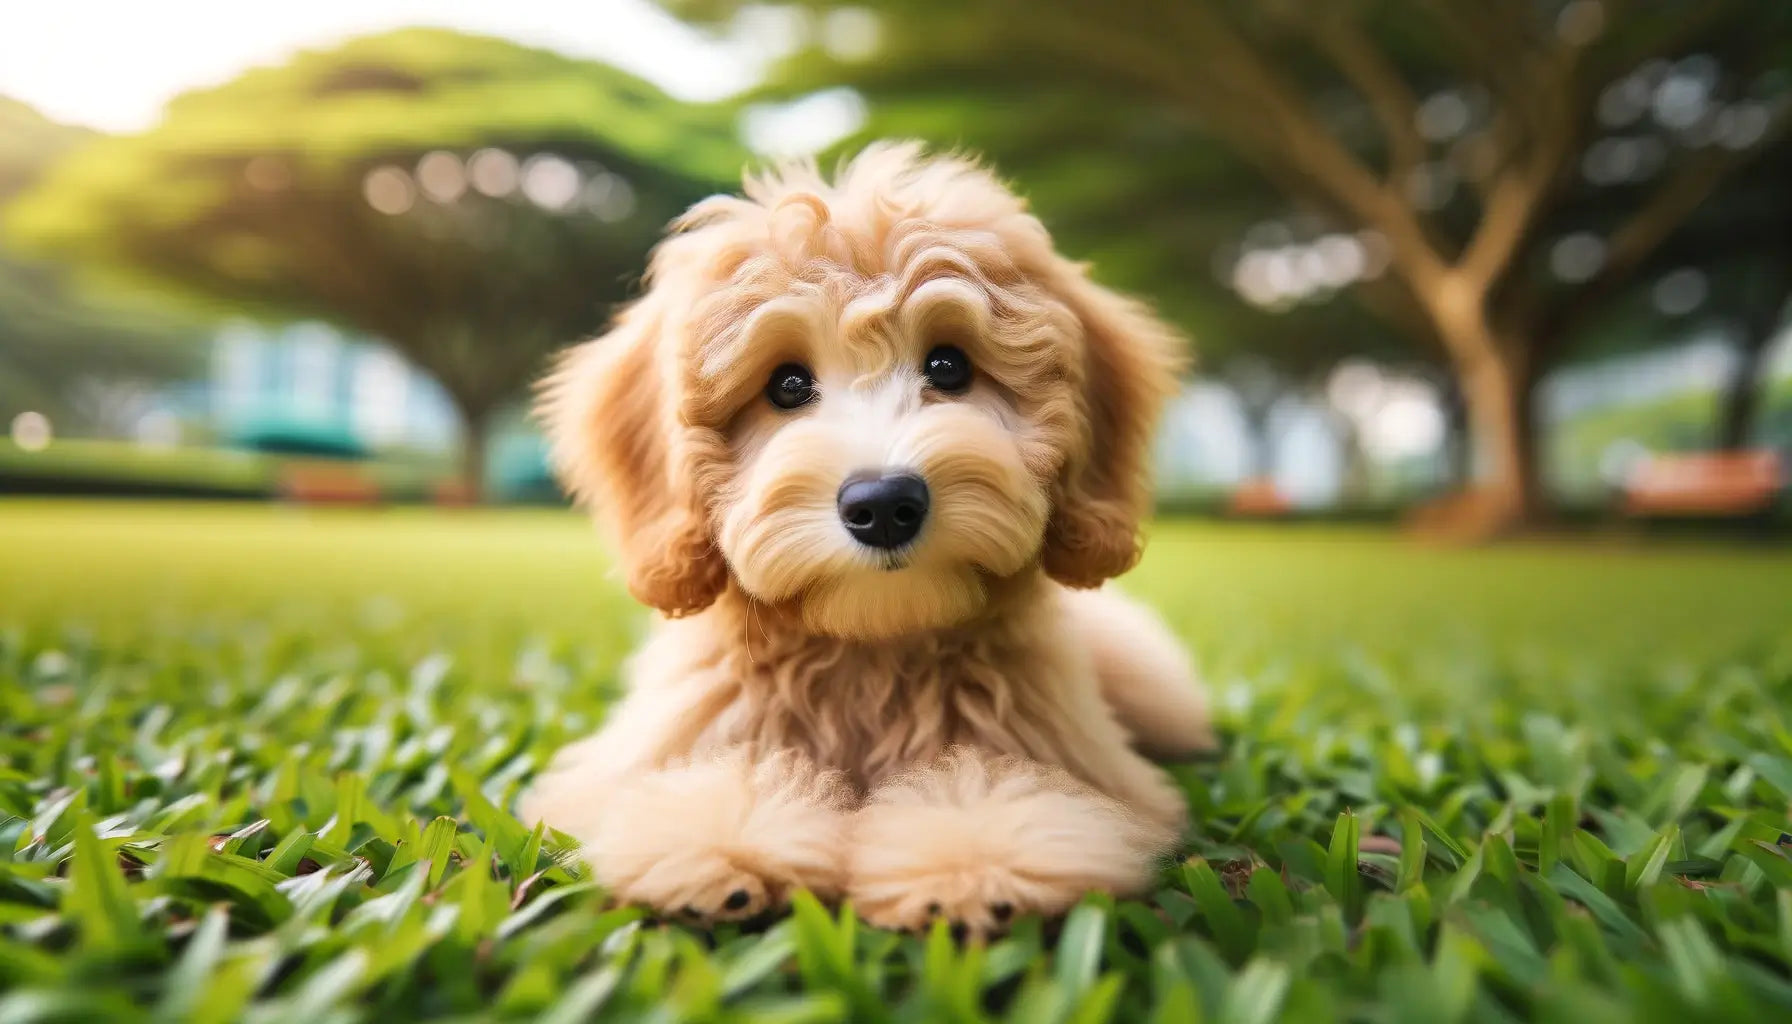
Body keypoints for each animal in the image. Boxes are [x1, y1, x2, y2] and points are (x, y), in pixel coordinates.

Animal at [523, 144, 1218, 939]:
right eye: (787, 385)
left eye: (948, 366)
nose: (883, 504)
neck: (870, 647)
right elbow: (706, 778)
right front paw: (716, 849)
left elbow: (1004, 782)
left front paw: (977, 861)